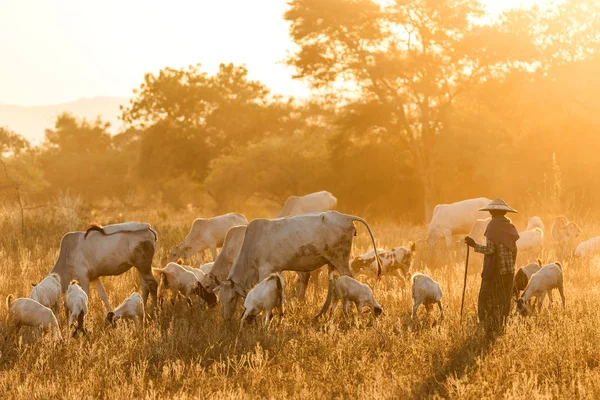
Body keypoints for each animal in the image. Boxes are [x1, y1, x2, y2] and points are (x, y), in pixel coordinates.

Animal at [214, 211, 380, 320]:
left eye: (231, 299)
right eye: (221, 299)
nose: (226, 319)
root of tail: (345, 216)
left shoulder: (265, 270)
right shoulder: (277, 271)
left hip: (341, 260)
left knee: (349, 280)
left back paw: (346, 314)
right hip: (331, 263)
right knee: (331, 287)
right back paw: (320, 315)